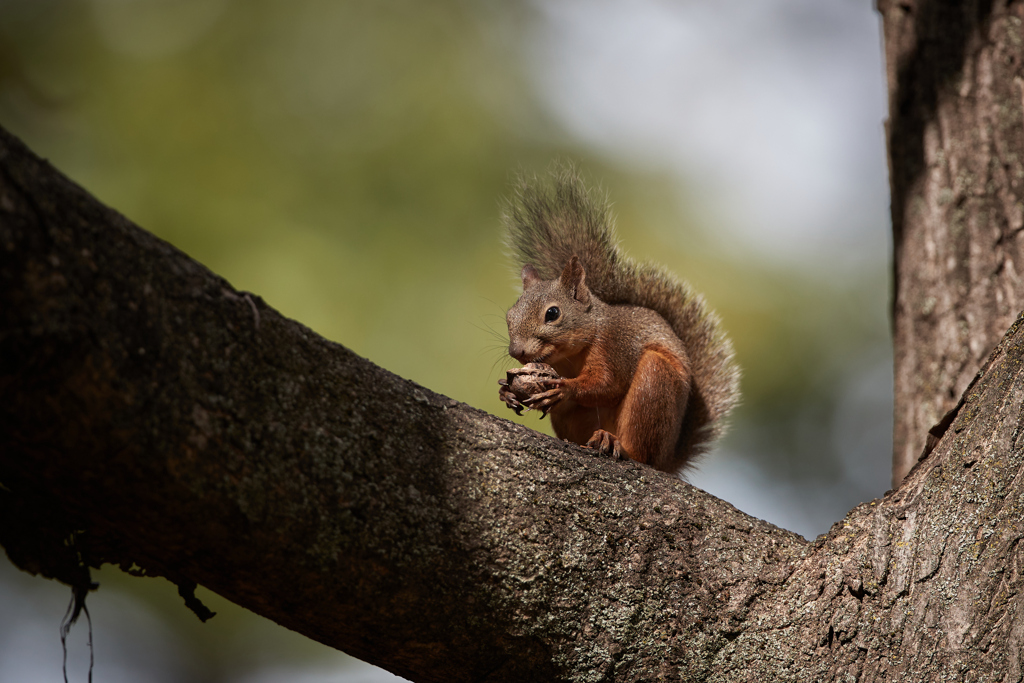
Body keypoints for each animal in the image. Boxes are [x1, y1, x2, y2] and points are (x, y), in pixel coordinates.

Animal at [495, 167, 737, 473]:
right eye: (509, 315)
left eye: (552, 313)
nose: (517, 351)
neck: (569, 357)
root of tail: (667, 460)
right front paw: (506, 391)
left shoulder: (614, 345)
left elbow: (607, 384)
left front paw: (564, 388)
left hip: (654, 384)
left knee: (641, 452)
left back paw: (616, 443)